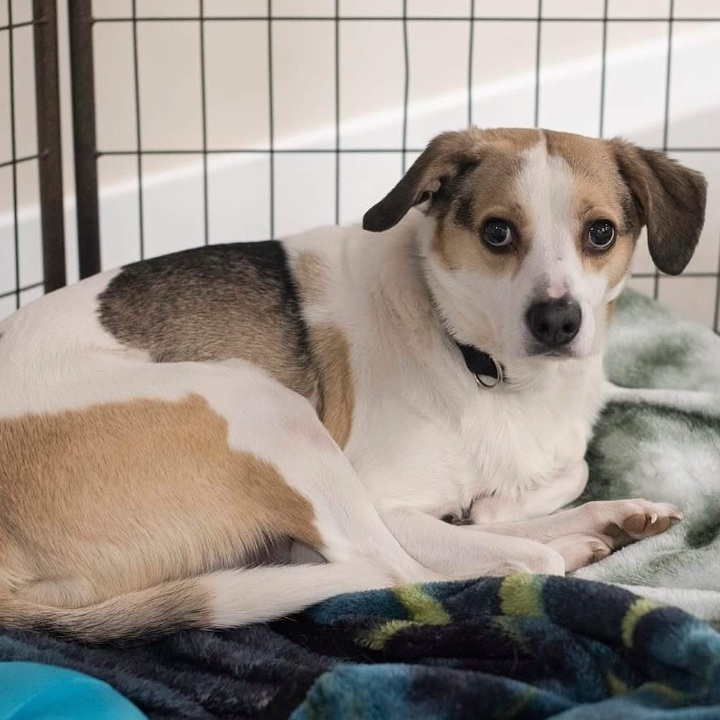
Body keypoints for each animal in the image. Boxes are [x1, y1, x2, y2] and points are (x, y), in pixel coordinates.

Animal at [0, 128, 704, 640]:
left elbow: (570, 469)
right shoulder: (382, 495)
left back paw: (613, 520)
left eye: (601, 232)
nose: (558, 321)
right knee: (402, 568)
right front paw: (507, 523)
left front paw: (514, 505)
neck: (485, 367)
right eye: (498, 231)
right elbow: (485, 548)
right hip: (262, 407)